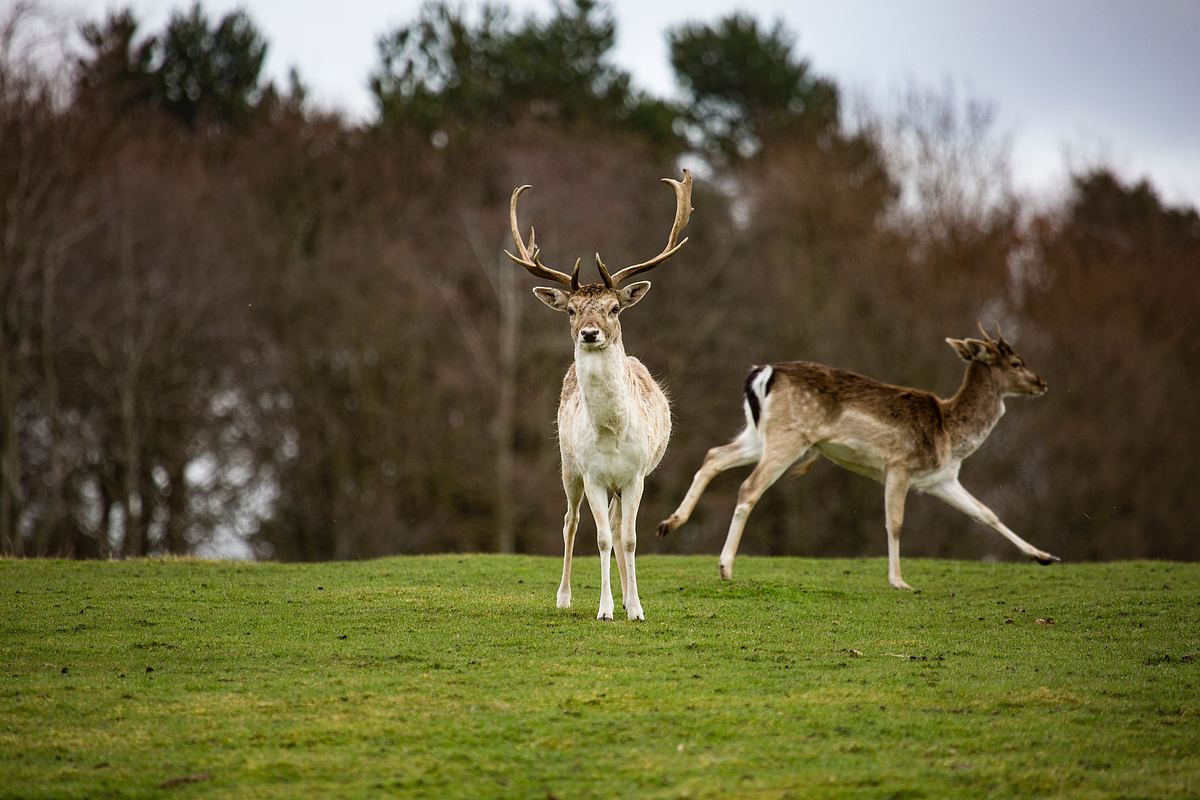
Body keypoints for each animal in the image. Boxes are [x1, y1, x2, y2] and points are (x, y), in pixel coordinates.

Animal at [506, 169, 696, 618]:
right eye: (571, 309)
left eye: (614, 308)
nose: (589, 333)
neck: (610, 435)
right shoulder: (592, 473)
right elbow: (603, 538)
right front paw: (606, 609)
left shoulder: (636, 476)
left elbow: (628, 539)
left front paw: (636, 608)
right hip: (567, 465)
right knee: (571, 522)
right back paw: (564, 597)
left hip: (618, 484)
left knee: (615, 525)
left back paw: (627, 596)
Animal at [657, 321, 1060, 592]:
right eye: (1016, 363)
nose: (1042, 383)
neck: (950, 433)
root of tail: (762, 372)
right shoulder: (899, 466)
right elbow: (895, 522)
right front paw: (899, 581)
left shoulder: (941, 479)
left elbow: (986, 513)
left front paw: (1045, 557)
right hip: (789, 436)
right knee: (748, 487)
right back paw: (725, 566)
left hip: (759, 435)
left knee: (714, 455)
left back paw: (670, 523)